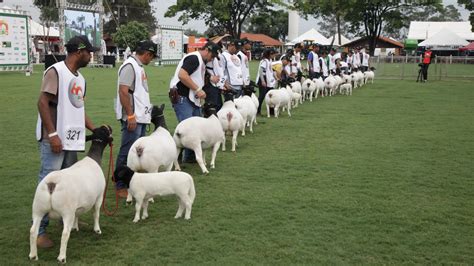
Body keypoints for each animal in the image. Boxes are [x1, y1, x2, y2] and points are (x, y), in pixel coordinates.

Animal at [30, 125, 114, 262]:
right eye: (106, 131)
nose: (108, 126)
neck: (93, 158)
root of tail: (52, 183)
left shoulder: (78, 205)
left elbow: (77, 215)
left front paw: (76, 227)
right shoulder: (99, 197)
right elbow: (96, 214)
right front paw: (97, 230)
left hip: (38, 209)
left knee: (33, 231)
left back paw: (33, 255)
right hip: (66, 211)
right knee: (64, 233)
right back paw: (62, 257)